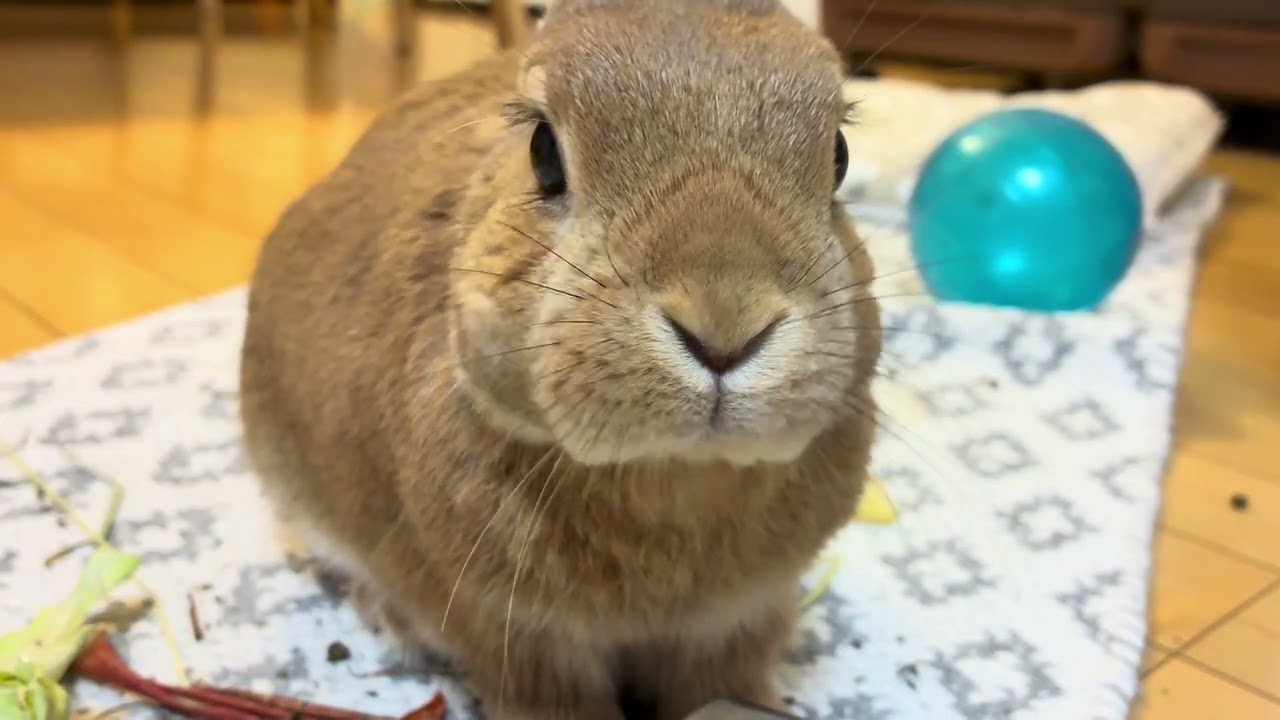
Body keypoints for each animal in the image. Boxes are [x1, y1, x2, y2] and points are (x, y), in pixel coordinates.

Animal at [238, 0, 881, 718]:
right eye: (543, 151)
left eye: (839, 157)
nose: (724, 329)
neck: (672, 476)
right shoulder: (520, 637)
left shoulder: (735, 623)